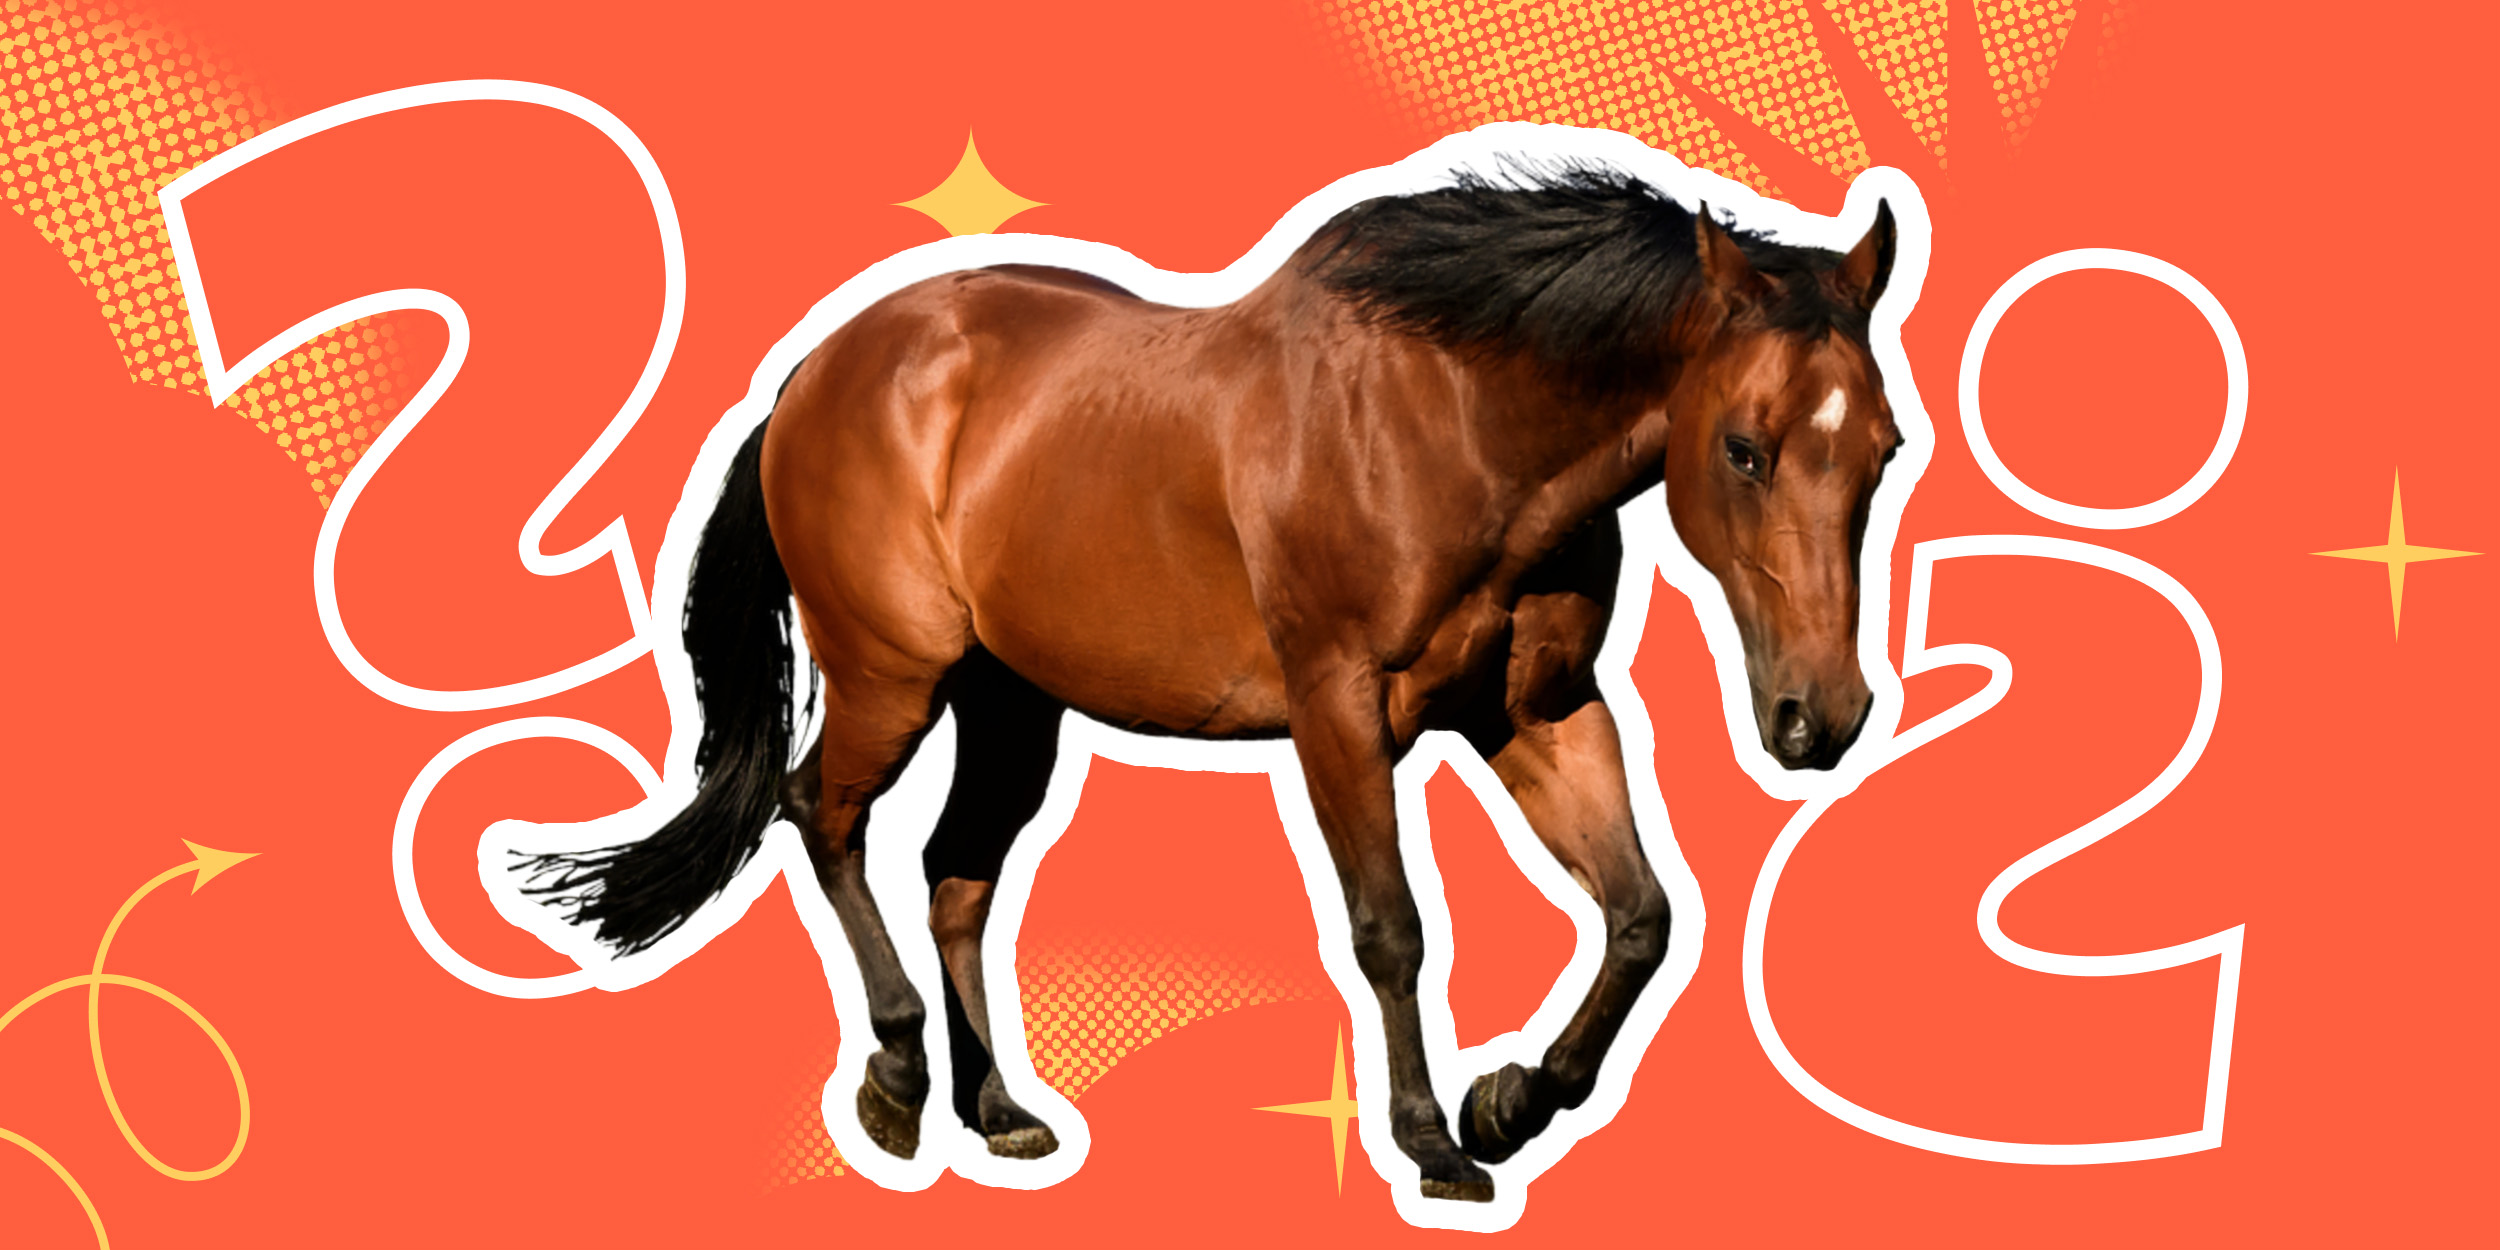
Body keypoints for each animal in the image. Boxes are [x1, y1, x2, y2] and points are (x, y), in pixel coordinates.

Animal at [523, 165, 1900, 1204]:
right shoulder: (1340, 708)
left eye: (1883, 449)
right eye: (1743, 448)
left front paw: (1510, 1100)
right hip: (887, 674)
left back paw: (999, 1107)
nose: (1819, 717)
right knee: (823, 812)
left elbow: (1640, 915)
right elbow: (1391, 926)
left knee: (957, 872)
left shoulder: (1538, 712)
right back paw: (898, 1080)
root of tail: (811, 374)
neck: (1451, 419)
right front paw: (1433, 1140)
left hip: (1010, 701)